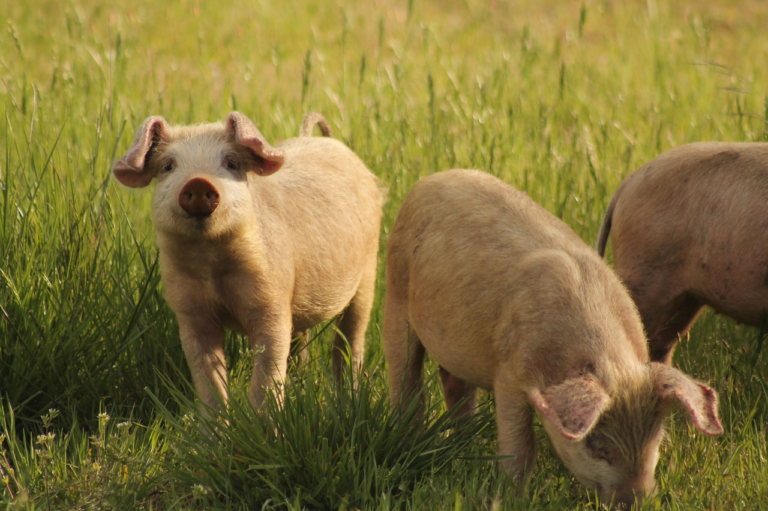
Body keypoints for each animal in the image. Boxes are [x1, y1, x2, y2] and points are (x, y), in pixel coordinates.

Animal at [110, 111, 380, 412]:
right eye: (168, 165)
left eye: (231, 163)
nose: (198, 182)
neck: (213, 265)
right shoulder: (189, 310)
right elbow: (208, 377)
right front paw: (214, 425)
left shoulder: (272, 301)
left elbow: (268, 371)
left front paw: (261, 422)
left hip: (369, 270)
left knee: (350, 338)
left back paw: (348, 397)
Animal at [388, 171, 724, 508]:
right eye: (597, 447)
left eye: (656, 439)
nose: (637, 502)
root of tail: (433, 179)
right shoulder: (509, 371)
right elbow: (521, 446)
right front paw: (510, 497)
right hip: (397, 291)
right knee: (405, 376)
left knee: (453, 383)